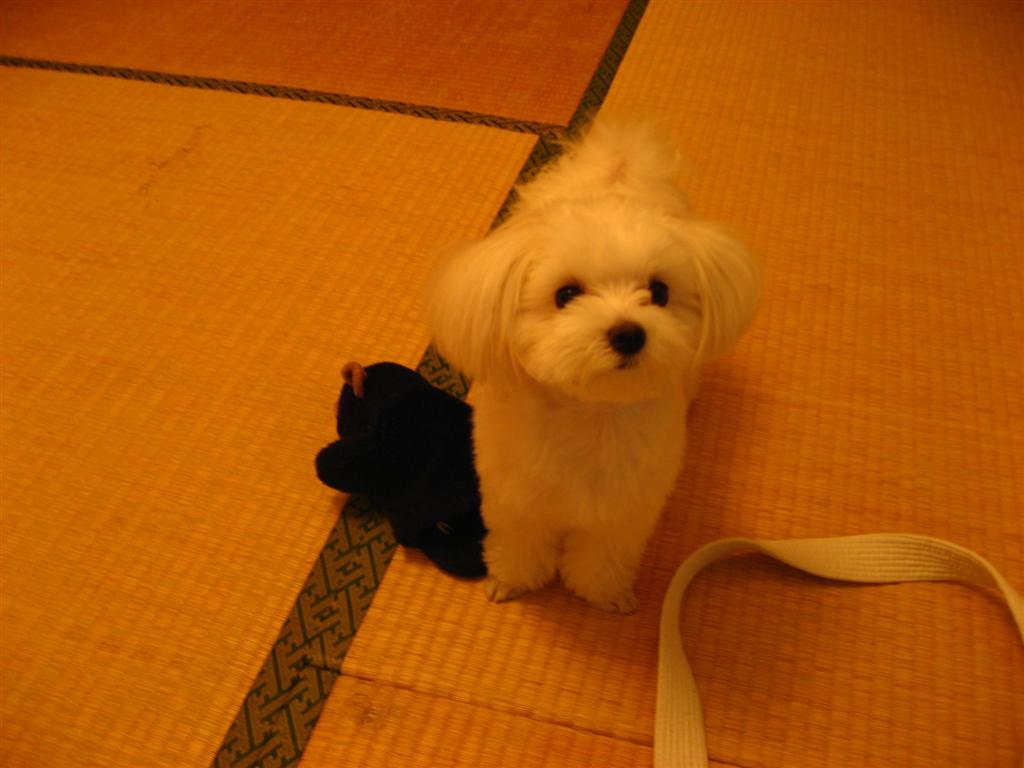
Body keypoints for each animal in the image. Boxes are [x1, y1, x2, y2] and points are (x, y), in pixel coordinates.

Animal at [427, 122, 759, 612]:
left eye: (659, 292)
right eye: (566, 294)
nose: (629, 334)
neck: (591, 415)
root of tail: (615, 167)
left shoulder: (622, 513)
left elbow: (602, 557)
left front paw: (603, 594)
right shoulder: (515, 501)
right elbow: (520, 545)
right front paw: (512, 580)